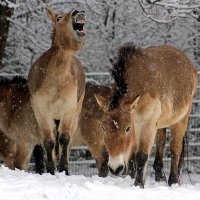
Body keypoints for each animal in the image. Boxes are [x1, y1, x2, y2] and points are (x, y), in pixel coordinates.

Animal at [27, 7, 85, 174]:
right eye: (58, 18)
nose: (77, 11)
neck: (57, 80)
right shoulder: (42, 113)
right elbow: (49, 142)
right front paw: (52, 169)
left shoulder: (68, 111)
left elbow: (64, 139)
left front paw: (63, 168)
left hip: (74, 116)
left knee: (67, 141)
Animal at [94, 44, 198, 188]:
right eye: (103, 128)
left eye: (127, 128)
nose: (115, 169)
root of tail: (188, 62)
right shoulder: (138, 124)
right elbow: (132, 155)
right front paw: (135, 178)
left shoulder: (146, 123)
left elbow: (141, 155)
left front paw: (138, 184)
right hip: (160, 124)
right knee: (161, 142)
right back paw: (159, 177)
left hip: (181, 120)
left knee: (175, 149)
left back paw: (173, 181)